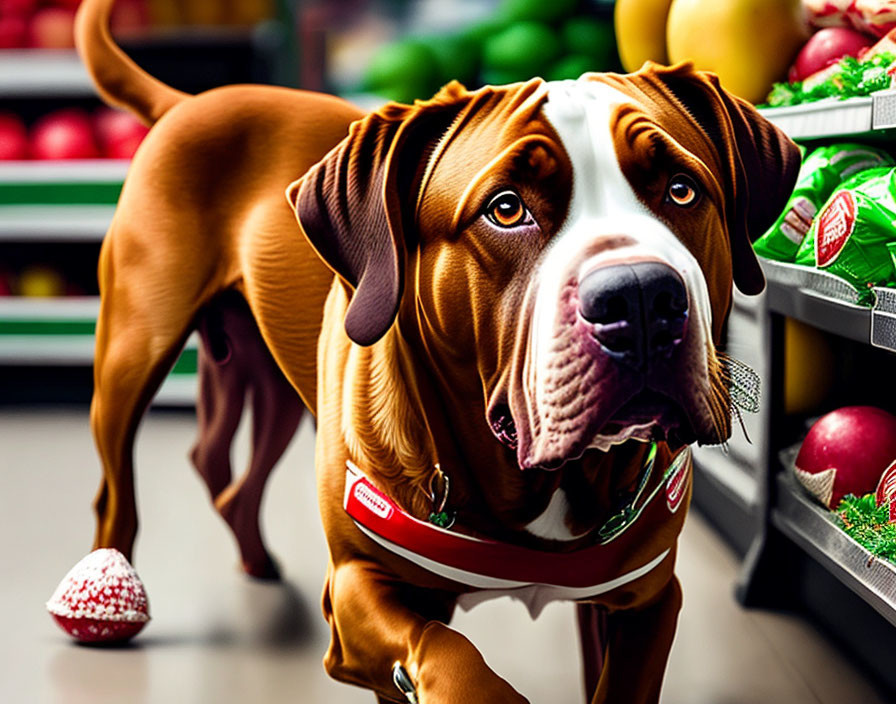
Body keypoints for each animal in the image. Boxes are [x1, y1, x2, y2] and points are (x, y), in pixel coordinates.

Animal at [65, 1, 804, 704]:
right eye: (506, 209)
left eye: (681, 189)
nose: (641, 296)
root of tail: (188, 103)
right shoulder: (361, 591)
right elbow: (452, 659)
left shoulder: (643, 601)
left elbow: (618, 680)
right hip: (132, 352)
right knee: (113, 490)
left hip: (274, 387)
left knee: (228, 472)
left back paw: (257, 562)